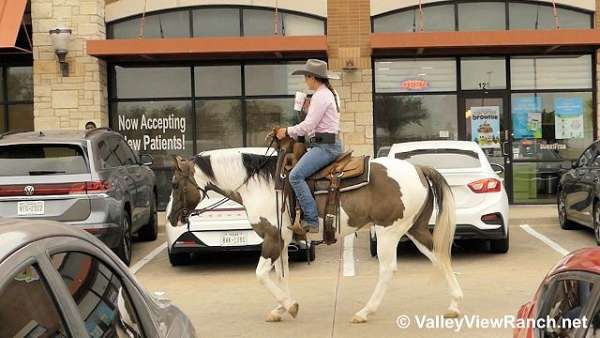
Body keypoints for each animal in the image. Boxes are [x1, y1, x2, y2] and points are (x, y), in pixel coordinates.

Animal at [168, 139, 464, 324]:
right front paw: (281, 307)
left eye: (174, 184)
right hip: (414, 229)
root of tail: (419, 169)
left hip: (388, 232)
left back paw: (364, 312)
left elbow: (261, 274)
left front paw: (289, 306)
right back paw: (455, 305)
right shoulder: (282, 239)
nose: (171, 218)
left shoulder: (272, 238)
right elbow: (282, 274)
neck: (259, 185)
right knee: (439, 255)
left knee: (388, 270)